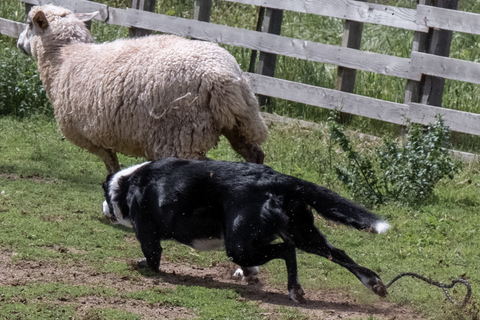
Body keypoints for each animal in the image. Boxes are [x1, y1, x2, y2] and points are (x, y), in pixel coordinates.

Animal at [16, 4, 268, 172]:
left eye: (29, 25)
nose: (18, 44)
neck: (65, 57)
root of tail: (223, 76)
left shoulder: (90, 136)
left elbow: (112, 165)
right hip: (241, 123)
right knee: (255, 155)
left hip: (182, 134)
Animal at [102, 159, 390, 304]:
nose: (104, 208)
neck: (126, 185)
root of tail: (276, 178)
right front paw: (249, 275)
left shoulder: (148, 236)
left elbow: (151, 258)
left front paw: (140, 265)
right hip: (303, 234)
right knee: (338, 254)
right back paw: (374, 284)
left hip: (241, 245)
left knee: (288, 250)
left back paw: (294, 290)